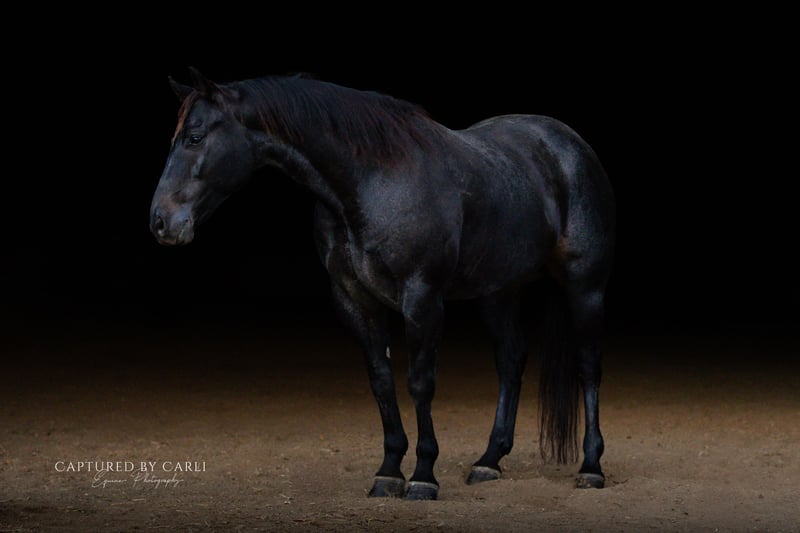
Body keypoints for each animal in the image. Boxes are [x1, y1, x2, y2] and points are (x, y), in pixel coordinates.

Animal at [149, 67, 616, 500]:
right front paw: (389, 471)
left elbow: (420, 382)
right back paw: (488, 461)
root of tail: (566, 143)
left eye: (194, 137)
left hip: (586, 287)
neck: (371, 181)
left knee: (587, 367)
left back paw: (591, 467)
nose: (160, 221)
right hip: (498, 291)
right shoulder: (354, 298)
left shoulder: (422, 298)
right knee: (511, 360)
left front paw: (423, 477)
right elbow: (381, 380)